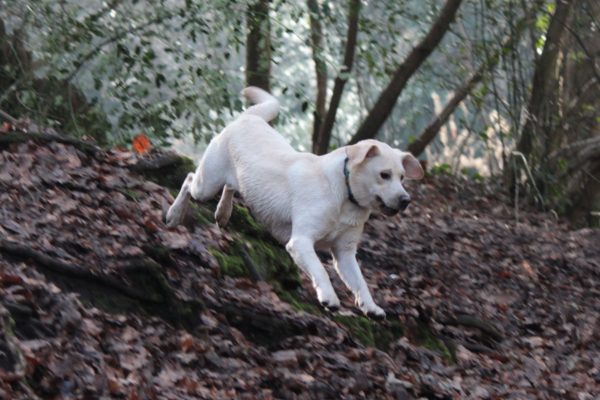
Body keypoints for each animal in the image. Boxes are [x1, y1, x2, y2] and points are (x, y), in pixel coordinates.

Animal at [166, 87, 424, 318]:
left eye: (402, 177)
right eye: (384, 175)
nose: (406, 200)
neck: (345, 194)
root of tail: (249, 117)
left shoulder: (345, 253)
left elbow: (360, 282)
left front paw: (371, 307)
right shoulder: (300, 242)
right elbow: (320, 270)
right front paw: (329, 297)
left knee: (230, 186)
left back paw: (223, 212)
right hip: (207, 184)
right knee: (189, 180)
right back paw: (174, 214)